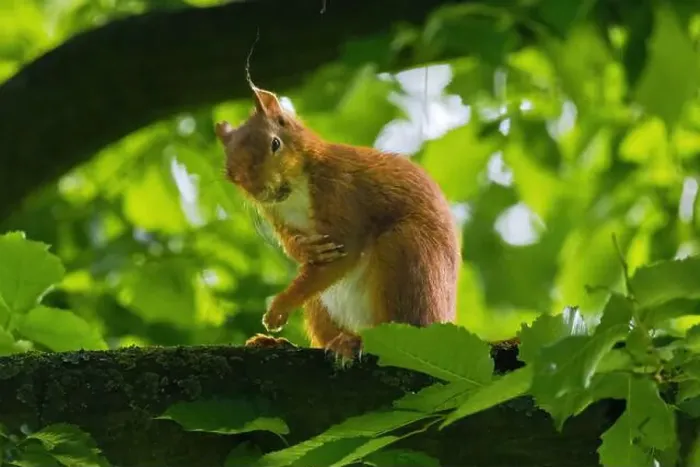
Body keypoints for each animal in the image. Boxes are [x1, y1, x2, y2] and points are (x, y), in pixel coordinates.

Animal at [214, 83, 461, 360]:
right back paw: (279, 343)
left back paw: (355, 342)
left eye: (275, 143)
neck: (294, 191)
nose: (260, 191)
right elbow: (296, 247)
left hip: (406, 256)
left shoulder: (342, 192)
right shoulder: (276, 215)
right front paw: (304, 249)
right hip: (320, 307)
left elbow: (346, 252)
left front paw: (279, 306)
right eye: (231, 173)